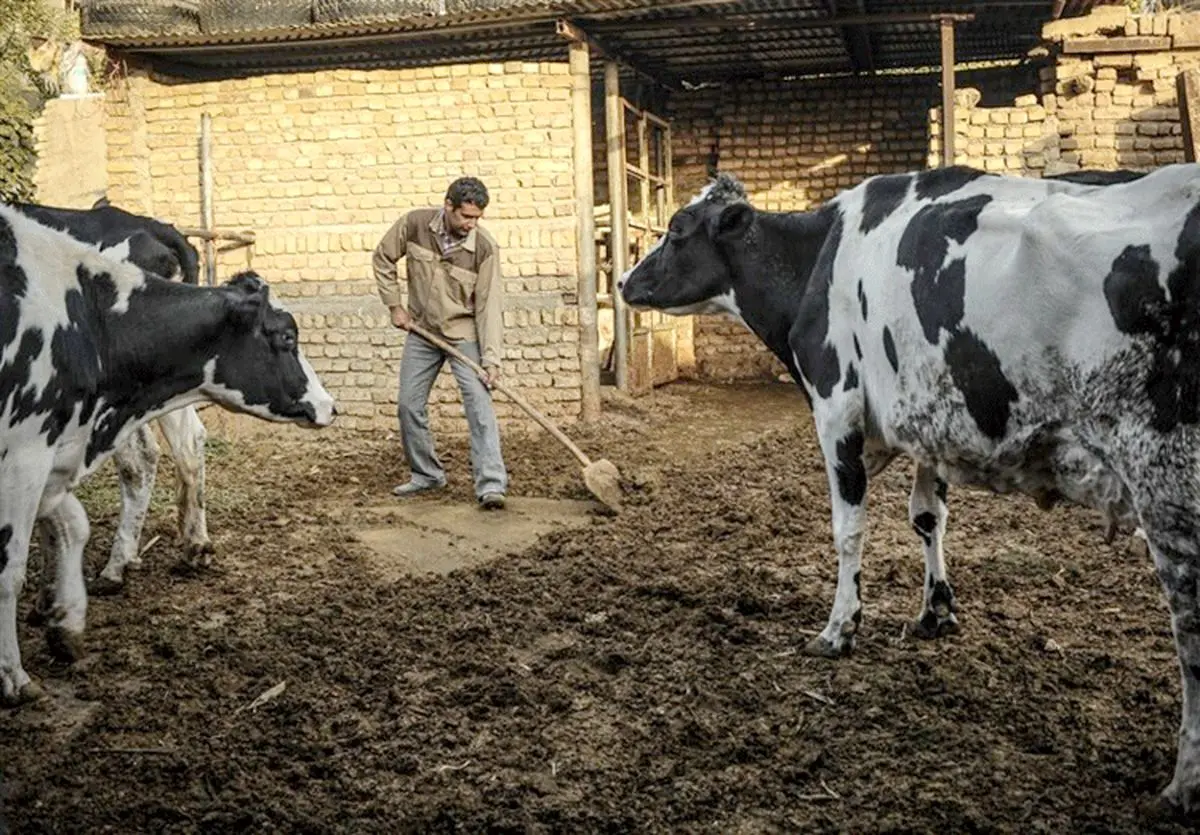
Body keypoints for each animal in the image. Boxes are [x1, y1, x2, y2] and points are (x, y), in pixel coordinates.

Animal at [624, 166, 1200, 811]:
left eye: (676, 229)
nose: (623, 282)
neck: (817, 257)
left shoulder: (838, 404)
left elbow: (849, 530)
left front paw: (839, 629)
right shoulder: (930, 420)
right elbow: (928, 516)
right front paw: (935, 612)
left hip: (1164, 472)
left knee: (1189, 619)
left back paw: (1182, 782)